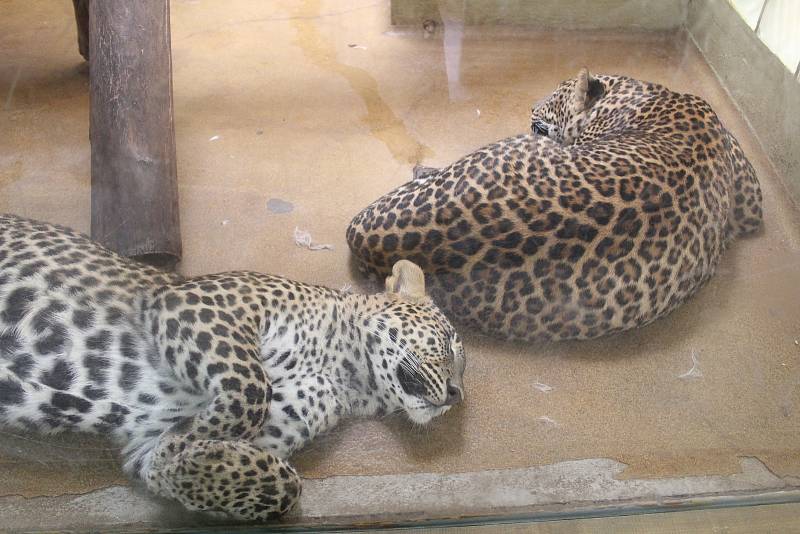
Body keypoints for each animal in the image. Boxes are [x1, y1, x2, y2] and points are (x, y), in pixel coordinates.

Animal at [0, 215, 466, 524]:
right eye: (448, 343)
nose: (457, 394)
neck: (348, 371)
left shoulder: (144, 440)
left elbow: (283, 483)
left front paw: (172, 462)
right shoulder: (196, 306)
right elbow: (250, 387)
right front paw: (184, 446)